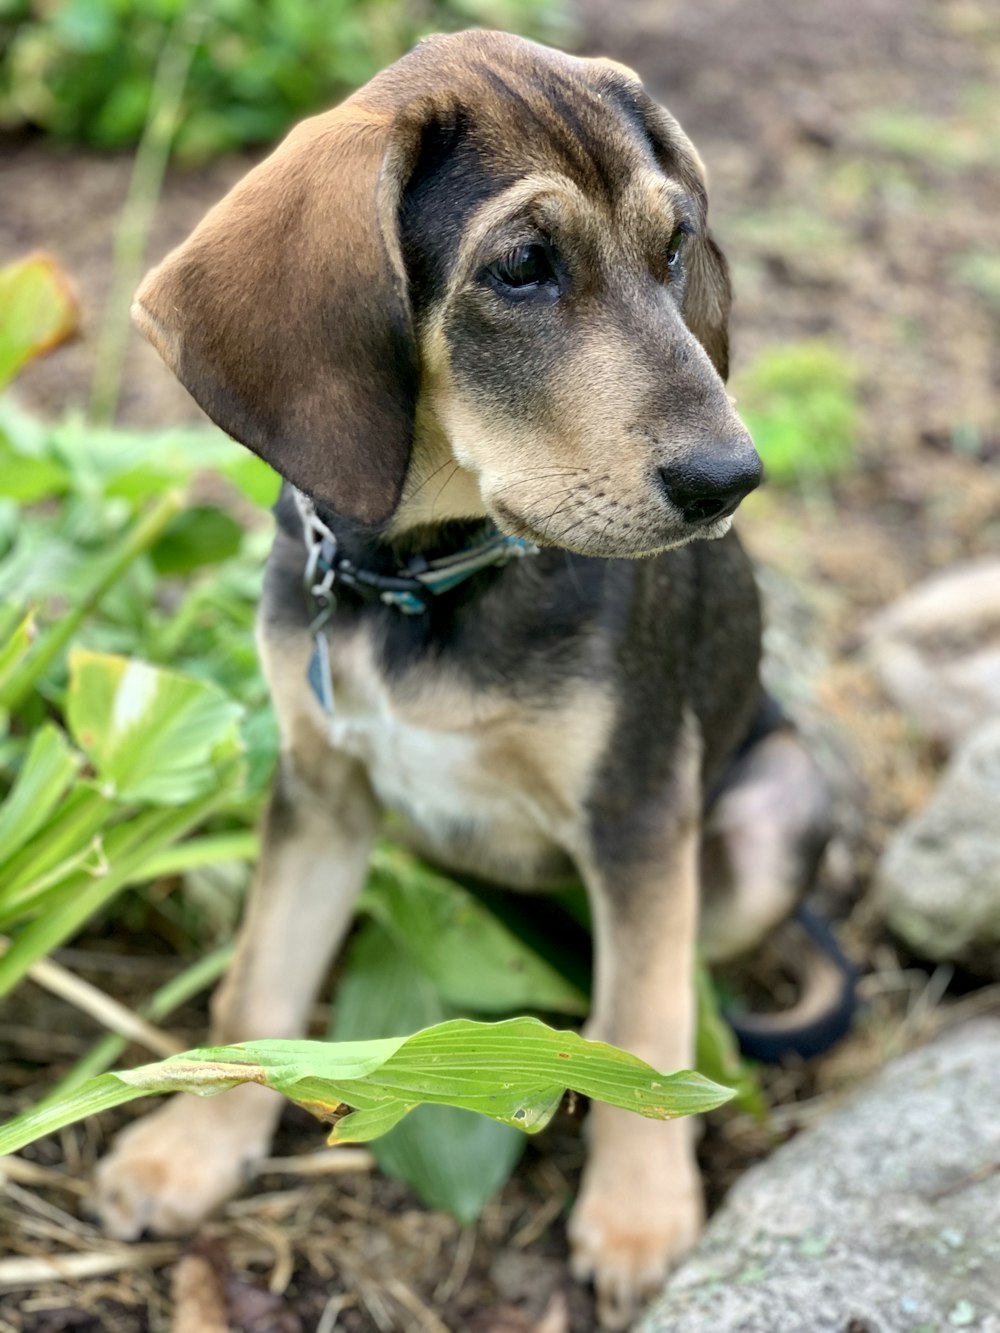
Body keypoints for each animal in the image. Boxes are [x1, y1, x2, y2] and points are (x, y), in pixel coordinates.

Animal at [94, 28, 832, 1322]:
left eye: (673, 246)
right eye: (523, 266)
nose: (730, 479)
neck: (426, 579)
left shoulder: (640, 805)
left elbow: (643, 1024)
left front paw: (637, 1218)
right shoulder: (319, 792)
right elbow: (258, 986)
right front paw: (190, 1152)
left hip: (770, 809)